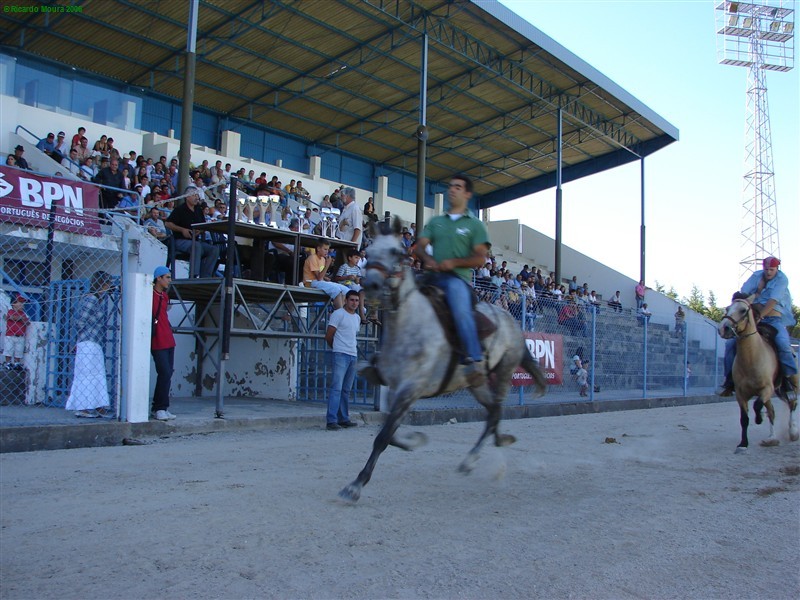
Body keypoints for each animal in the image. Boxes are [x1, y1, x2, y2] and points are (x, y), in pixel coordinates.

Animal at [340, 220, 548, 502]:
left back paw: (474, 458)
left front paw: (356, 484)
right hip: (477, 383)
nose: (371, 285)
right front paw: (414, 440)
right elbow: (388, 433)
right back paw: (483, 452)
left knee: (495, 413)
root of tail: (512, 321)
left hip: (504, 371)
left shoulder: (410, 389)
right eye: (369, 251)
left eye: (395, 252)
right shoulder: (393, 389)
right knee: (493, 412)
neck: (410, 326)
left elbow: (382, 437)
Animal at [716, 298, 796, 452]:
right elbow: (744, 419)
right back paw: (771, 438)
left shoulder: (766, 389)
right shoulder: (740, 394)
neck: (752, 358)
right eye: (727, 308)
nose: (723, 328)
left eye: (743, 310)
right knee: (772, 411)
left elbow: (757, 405)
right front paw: (743, 444)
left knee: (792, 404)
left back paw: (793, 432)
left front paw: (758, 419)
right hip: (777, 391)